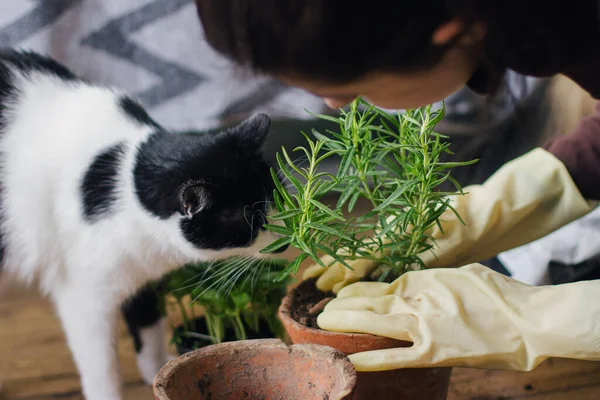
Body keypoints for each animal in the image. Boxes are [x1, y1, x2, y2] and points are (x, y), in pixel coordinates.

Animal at [0, 50, 284, 400]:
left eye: (275, 199)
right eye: (249, 223)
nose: (286, 244)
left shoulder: (146, 282)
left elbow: (149, 332)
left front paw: (160, 373)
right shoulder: (83, 298)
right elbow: (101, 368)